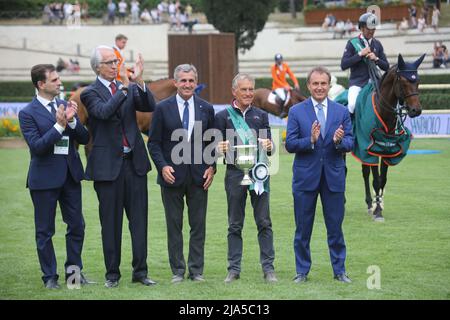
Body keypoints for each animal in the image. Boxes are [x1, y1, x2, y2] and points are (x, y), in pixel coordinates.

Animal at [354, 53, 424, 221]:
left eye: (418, 81)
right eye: (404, 82)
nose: (416, 110)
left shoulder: (388, 149)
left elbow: (382, 180)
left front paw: (378, 207)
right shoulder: (371, 148)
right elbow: (375, 180)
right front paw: (377, 210)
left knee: (365, 172)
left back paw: (370, 204)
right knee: (364, 173)